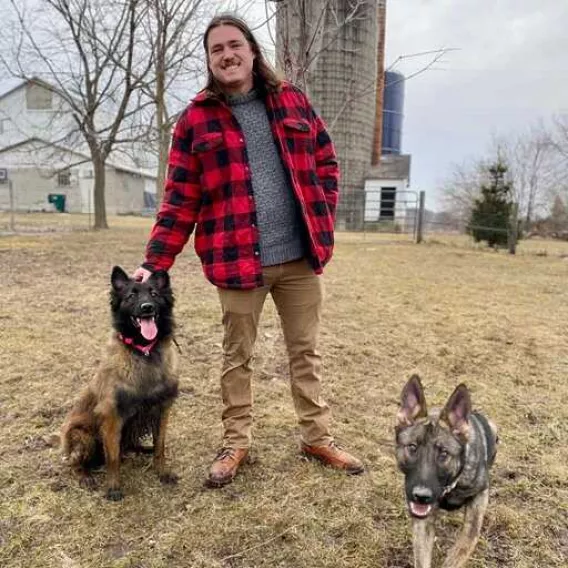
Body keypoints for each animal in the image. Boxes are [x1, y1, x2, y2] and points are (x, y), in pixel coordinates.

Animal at [61, 266, 179, 502]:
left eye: (154, 294)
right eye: (131, 296)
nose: (147, 308)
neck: (143, 352)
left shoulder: (162, 409)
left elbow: (160, 446)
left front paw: (162, 472)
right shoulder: (112, 416)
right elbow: (113, 458)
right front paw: (113, 487)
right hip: (83, 435)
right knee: (75, 463)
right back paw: (85, 476)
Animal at [394, 374, 496, 568]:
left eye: (444, 453)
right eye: (412, 447)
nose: (421, 496)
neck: (451, 486)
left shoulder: (480, 498)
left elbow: (464, 545)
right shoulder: (423, 520)